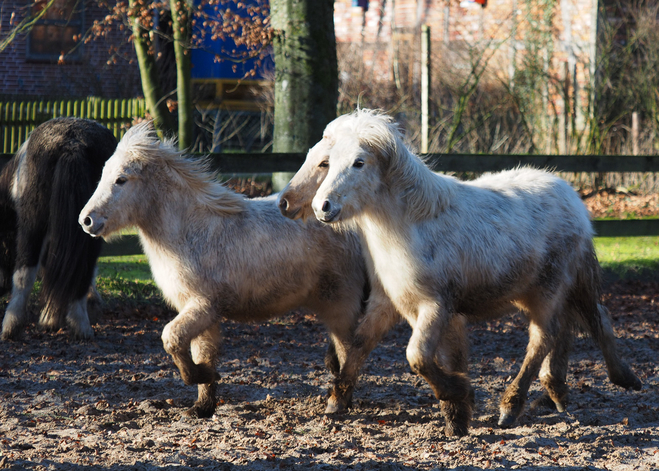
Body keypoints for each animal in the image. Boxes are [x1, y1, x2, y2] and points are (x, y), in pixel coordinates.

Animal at [80, 123, 368, 418]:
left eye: (121, 179)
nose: (86, 220)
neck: (191, 233)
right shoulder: (199, 311)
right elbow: (200, 352)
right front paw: (201, 405)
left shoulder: (204, 306)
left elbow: (171, 338)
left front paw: (205, 376)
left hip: (340, 303)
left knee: (351, 350)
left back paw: (338, 402)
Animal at [282, 109, 640, 436]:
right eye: (329, 162)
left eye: (357, 162)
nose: (321, 207)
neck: (411, 226)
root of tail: (573, 198)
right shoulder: (393, 303)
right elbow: (367, 344)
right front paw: (456, 414)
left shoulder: (435, 305)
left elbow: (417, 357)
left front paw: (461, 394)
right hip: (544, 290)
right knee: (579, 324)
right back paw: (568, 389)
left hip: (550, 290)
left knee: (547, 337)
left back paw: (514, 405)